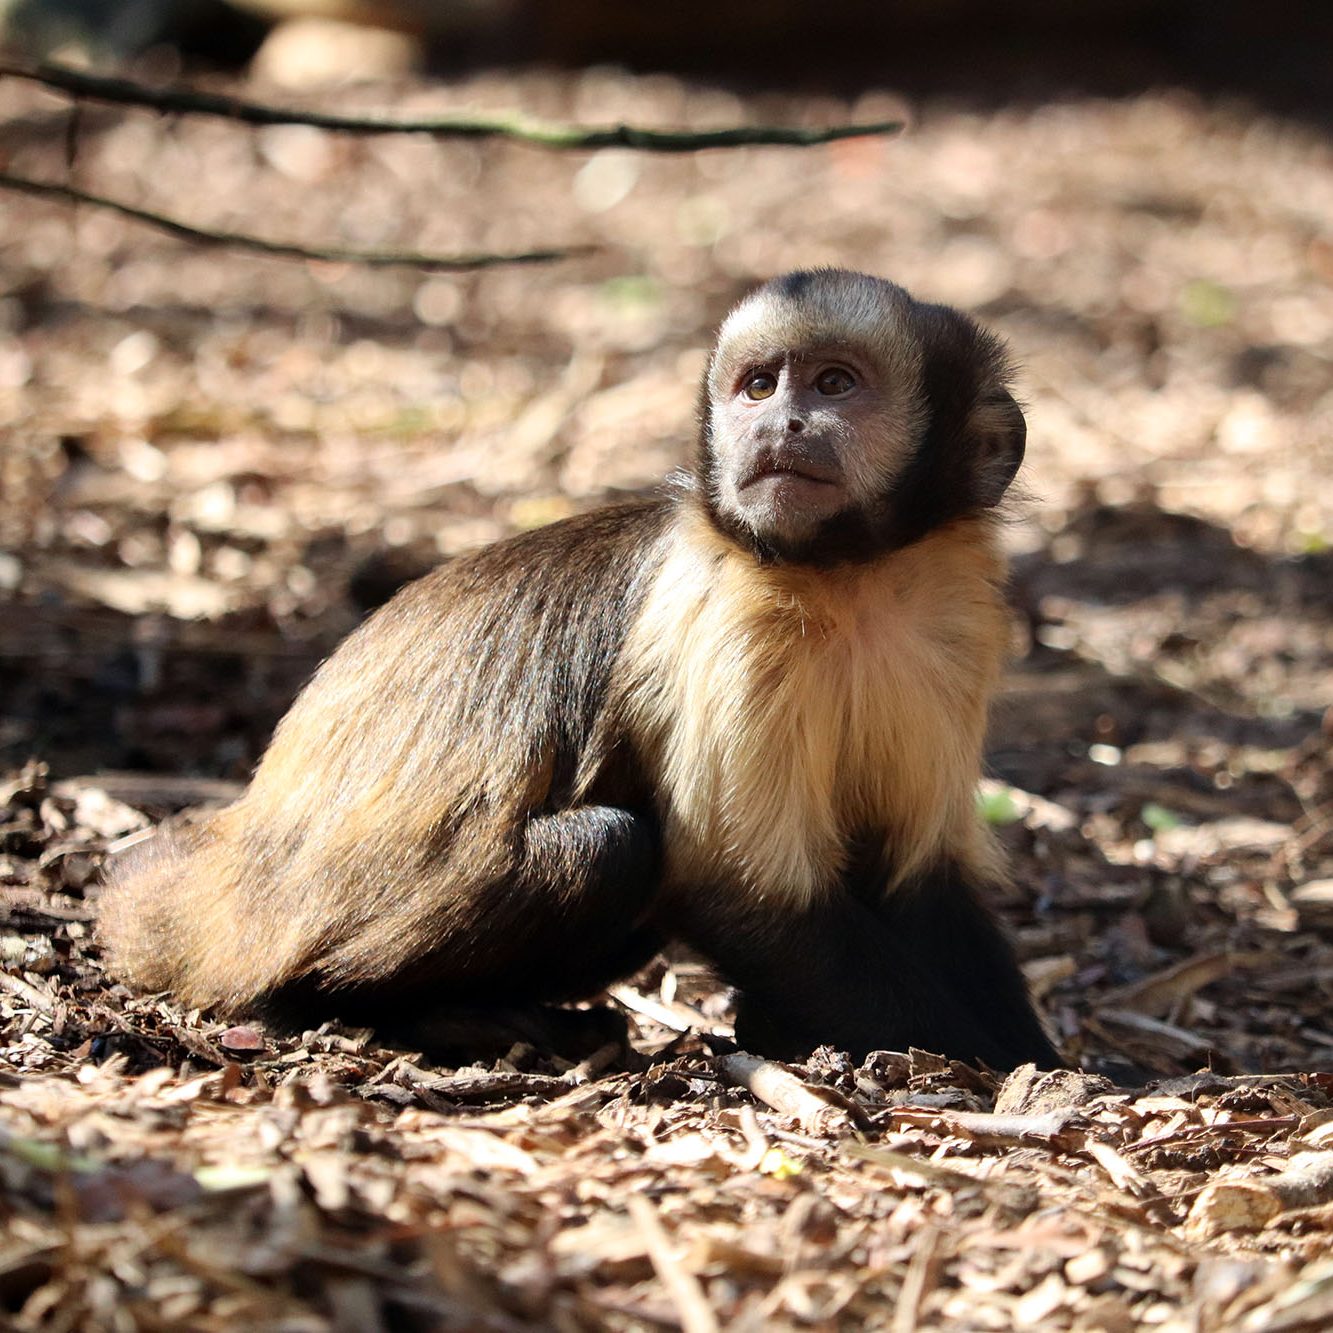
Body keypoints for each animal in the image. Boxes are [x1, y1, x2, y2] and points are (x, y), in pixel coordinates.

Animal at [96, 270, 1061, 1071]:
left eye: (833, 385)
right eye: (758, 386)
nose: (779, 423)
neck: (847, 576)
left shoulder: (948, 616)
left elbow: (918, 879)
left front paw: (1040, 1057)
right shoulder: (731, 619)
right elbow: (739, 892)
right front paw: (1014, 1073)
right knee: (612, 847)